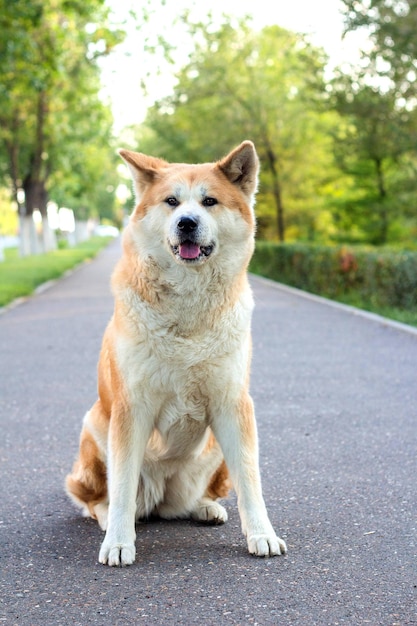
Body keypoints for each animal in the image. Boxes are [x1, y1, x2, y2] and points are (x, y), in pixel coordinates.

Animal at [65, 141, 286, 564]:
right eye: (171, 201)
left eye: (209, 201)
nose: (186, 222)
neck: (188, 308)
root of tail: (159, 495)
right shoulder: (131, 408)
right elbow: (120, 487)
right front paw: (119, 542)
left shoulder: (233, 404)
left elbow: (251, 481)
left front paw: (262, 534)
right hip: (95, 428)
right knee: (101, 498)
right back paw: (109, 518)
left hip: (213, 451)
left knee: (183, 504)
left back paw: (205, 507)